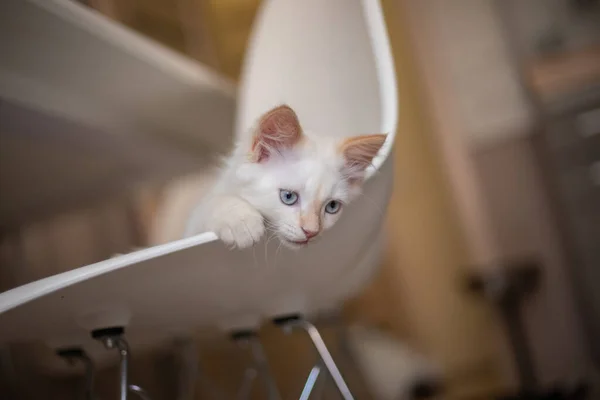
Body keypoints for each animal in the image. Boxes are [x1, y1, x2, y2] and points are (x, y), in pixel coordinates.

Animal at [185, 105, 386, 250]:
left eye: (332, 207)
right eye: (288, 197)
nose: (311, 232)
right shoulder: (191, 228)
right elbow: (210, 206)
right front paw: (240, 220)